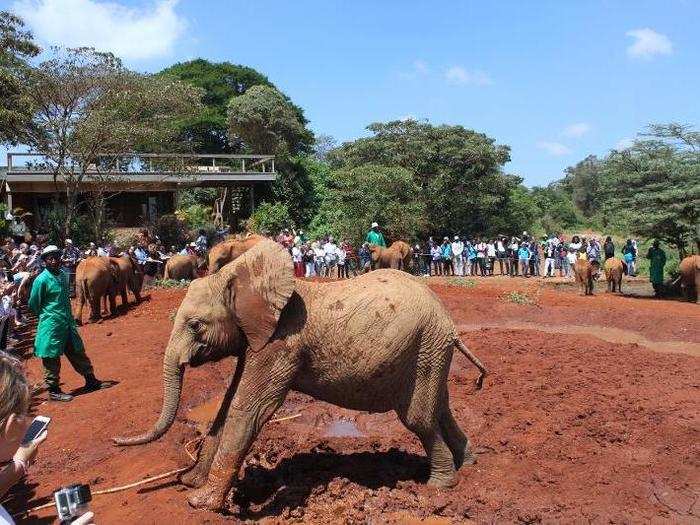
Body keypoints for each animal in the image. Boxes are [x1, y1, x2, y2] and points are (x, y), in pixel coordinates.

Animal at [115, 239, 486, 510]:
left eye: (195, 326)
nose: (117, 441)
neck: (244, 278)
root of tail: (449, 323)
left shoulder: (280, 344)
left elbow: (248, 409)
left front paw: (200, 502)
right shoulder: (256, 339)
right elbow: (228, 404)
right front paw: (193, 483)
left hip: (424, 346)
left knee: (419, 419)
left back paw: (440, 485)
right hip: (430, 352)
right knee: (440, 409)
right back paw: (468, 463)